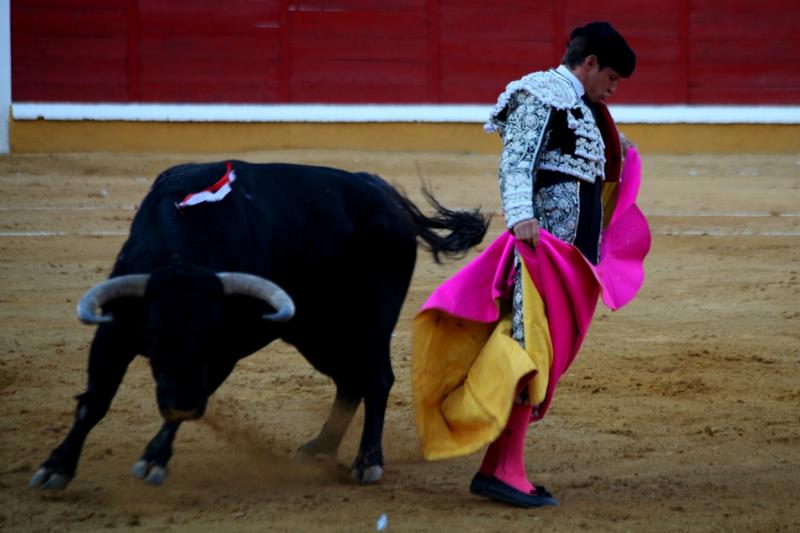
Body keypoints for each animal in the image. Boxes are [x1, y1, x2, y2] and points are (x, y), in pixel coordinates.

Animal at [29, 160, 488, 488]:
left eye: (211, 334)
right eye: (154, 335)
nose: (179, 402)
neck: (184, 255)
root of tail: (384, 194)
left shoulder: (228, 348)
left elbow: (197, 391)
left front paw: (154, 459)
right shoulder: (115, 333)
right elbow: (94, 401)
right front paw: (57, 467)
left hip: (369, 323)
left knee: (375, 378)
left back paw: (367, 462)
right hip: (316, 332)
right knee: (349, 380)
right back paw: (320, 447)